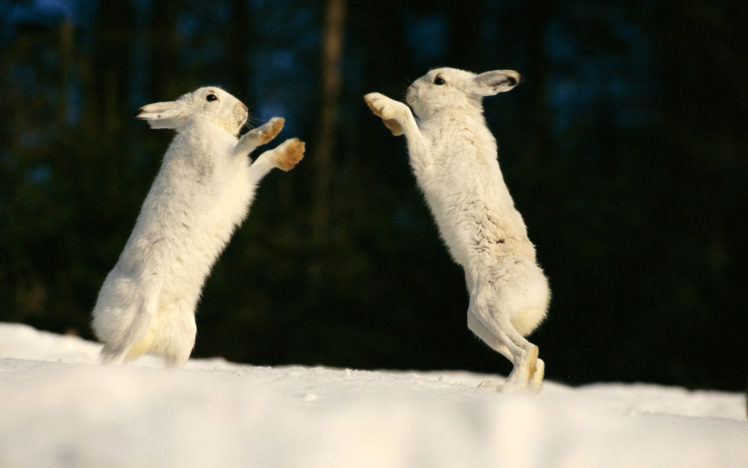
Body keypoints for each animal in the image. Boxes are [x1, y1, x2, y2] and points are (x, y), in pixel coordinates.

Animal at [91, 86, 305, 367]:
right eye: (211, 97)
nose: (243, 108)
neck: (203, 124)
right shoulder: (222, 166)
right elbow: (245, 144)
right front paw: (271, 128)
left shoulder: (243, 181)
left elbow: (262, 160)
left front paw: (293, 151)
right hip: (138, 317)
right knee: (114, 356)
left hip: (185, 337)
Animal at [364, 67, 550, 392]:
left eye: (439, 81)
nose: (411, 90)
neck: (455, 113)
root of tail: (540, 293)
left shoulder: (427, 155)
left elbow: (409, 120)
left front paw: (381, 103)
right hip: (479, 322)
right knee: (534, 359)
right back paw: (504, 390)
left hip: (488, 308)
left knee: (528, 352)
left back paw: (504, 390)